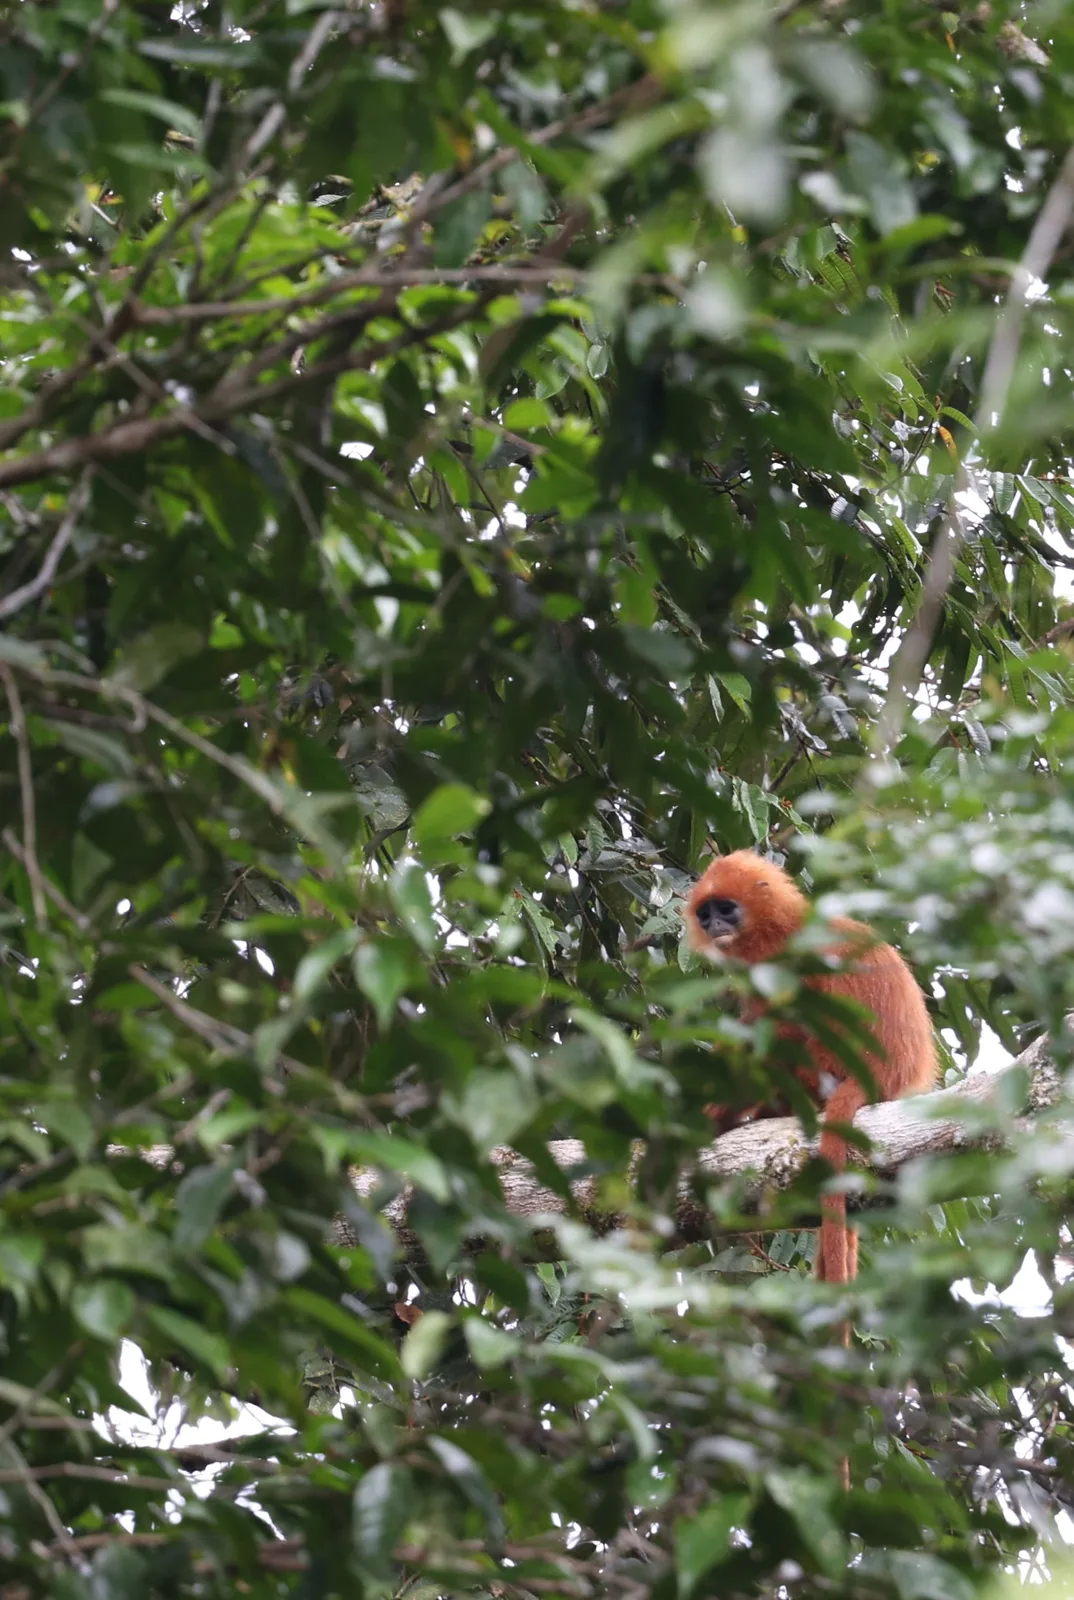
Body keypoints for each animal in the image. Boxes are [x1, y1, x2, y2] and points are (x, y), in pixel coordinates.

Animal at [685, 850, 936, 1285]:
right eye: (706, 913)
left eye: (726, 909)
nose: (714, 924)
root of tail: (886, 1078)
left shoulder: (781, 961)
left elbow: (774, 1034)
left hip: (827, 1064)